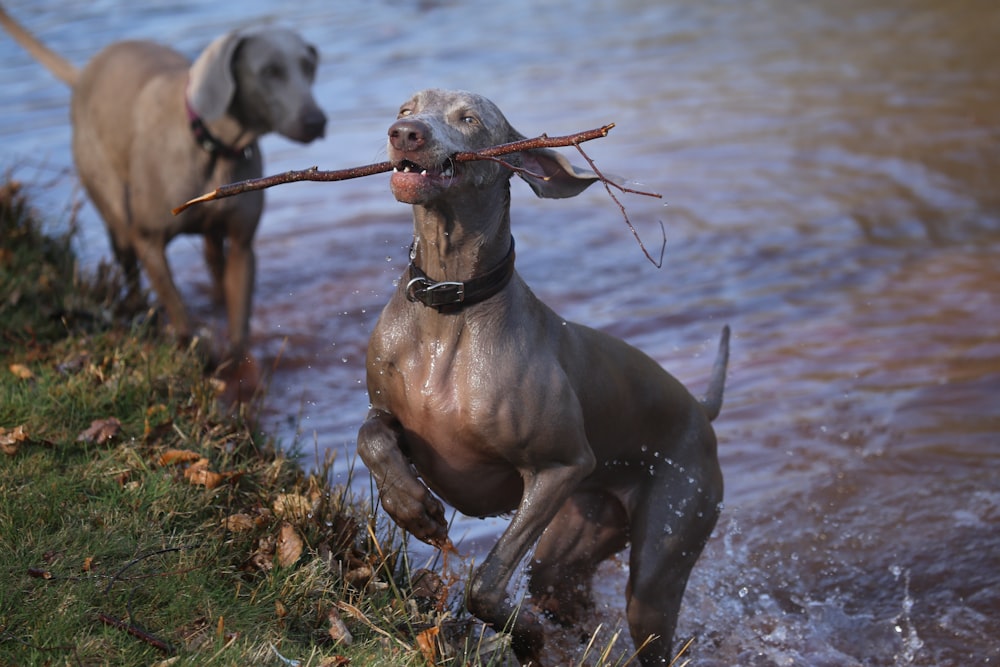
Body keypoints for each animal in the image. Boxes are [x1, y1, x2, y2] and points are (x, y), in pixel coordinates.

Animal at [0, 5, 326, 362]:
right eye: (270, 71)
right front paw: (192, 351)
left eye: (308, 67)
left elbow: (239, 325)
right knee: (129, 268)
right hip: (115, 212)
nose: (317, 121)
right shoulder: (148, 240)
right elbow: (178, 310)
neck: (214, 149)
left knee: (214, 261)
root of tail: (84, 73)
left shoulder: (243, 246)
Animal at [358, 90, 728, 667]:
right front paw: (411, 508)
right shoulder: (387, 413)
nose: (406, 134)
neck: (449, 306)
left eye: (470, 119)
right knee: (561, 589)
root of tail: (699, 408)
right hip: (577, 536)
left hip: (663, 553)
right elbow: (370, 435)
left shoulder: (560, 468)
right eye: (406, 107)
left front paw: (524, 634)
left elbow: (486, 585)